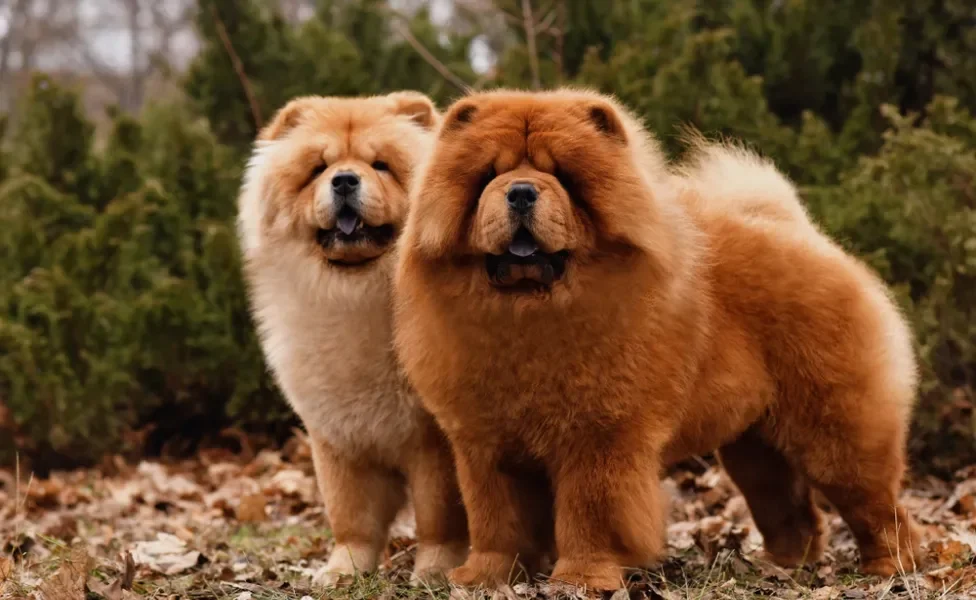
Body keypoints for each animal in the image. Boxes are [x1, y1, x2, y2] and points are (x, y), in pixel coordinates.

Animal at [236, 94, 466, 584]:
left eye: (381, 165)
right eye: (318, 168)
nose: (343, 179)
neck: (358, 295)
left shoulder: (435, 443)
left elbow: (440, 518)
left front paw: (436, 570)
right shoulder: (338, 439)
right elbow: (351, 517)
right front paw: (344, 571)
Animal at [390, 89, 924, 592]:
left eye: (562, 177)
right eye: (488, 177)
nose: (520, 191)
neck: (527, 315)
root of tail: (809, 238)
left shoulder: (598, 438)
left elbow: (589, 513)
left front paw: (581, 578)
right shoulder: (485, 446)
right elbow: (495, 519)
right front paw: (483, 576)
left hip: (836, 432)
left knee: (875, 502)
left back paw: (889, 567)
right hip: (754, 448)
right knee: (789, 507)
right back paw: (784, 567)